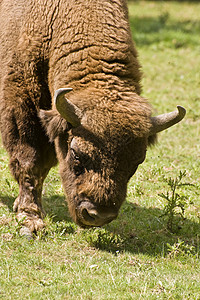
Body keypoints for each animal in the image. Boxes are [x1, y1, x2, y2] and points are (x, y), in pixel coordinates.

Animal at [0, 0, 186, 233]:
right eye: (76, 153)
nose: (98, 215)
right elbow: (30, 162)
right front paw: (30, 220)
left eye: (137, 161)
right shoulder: (22, 107)